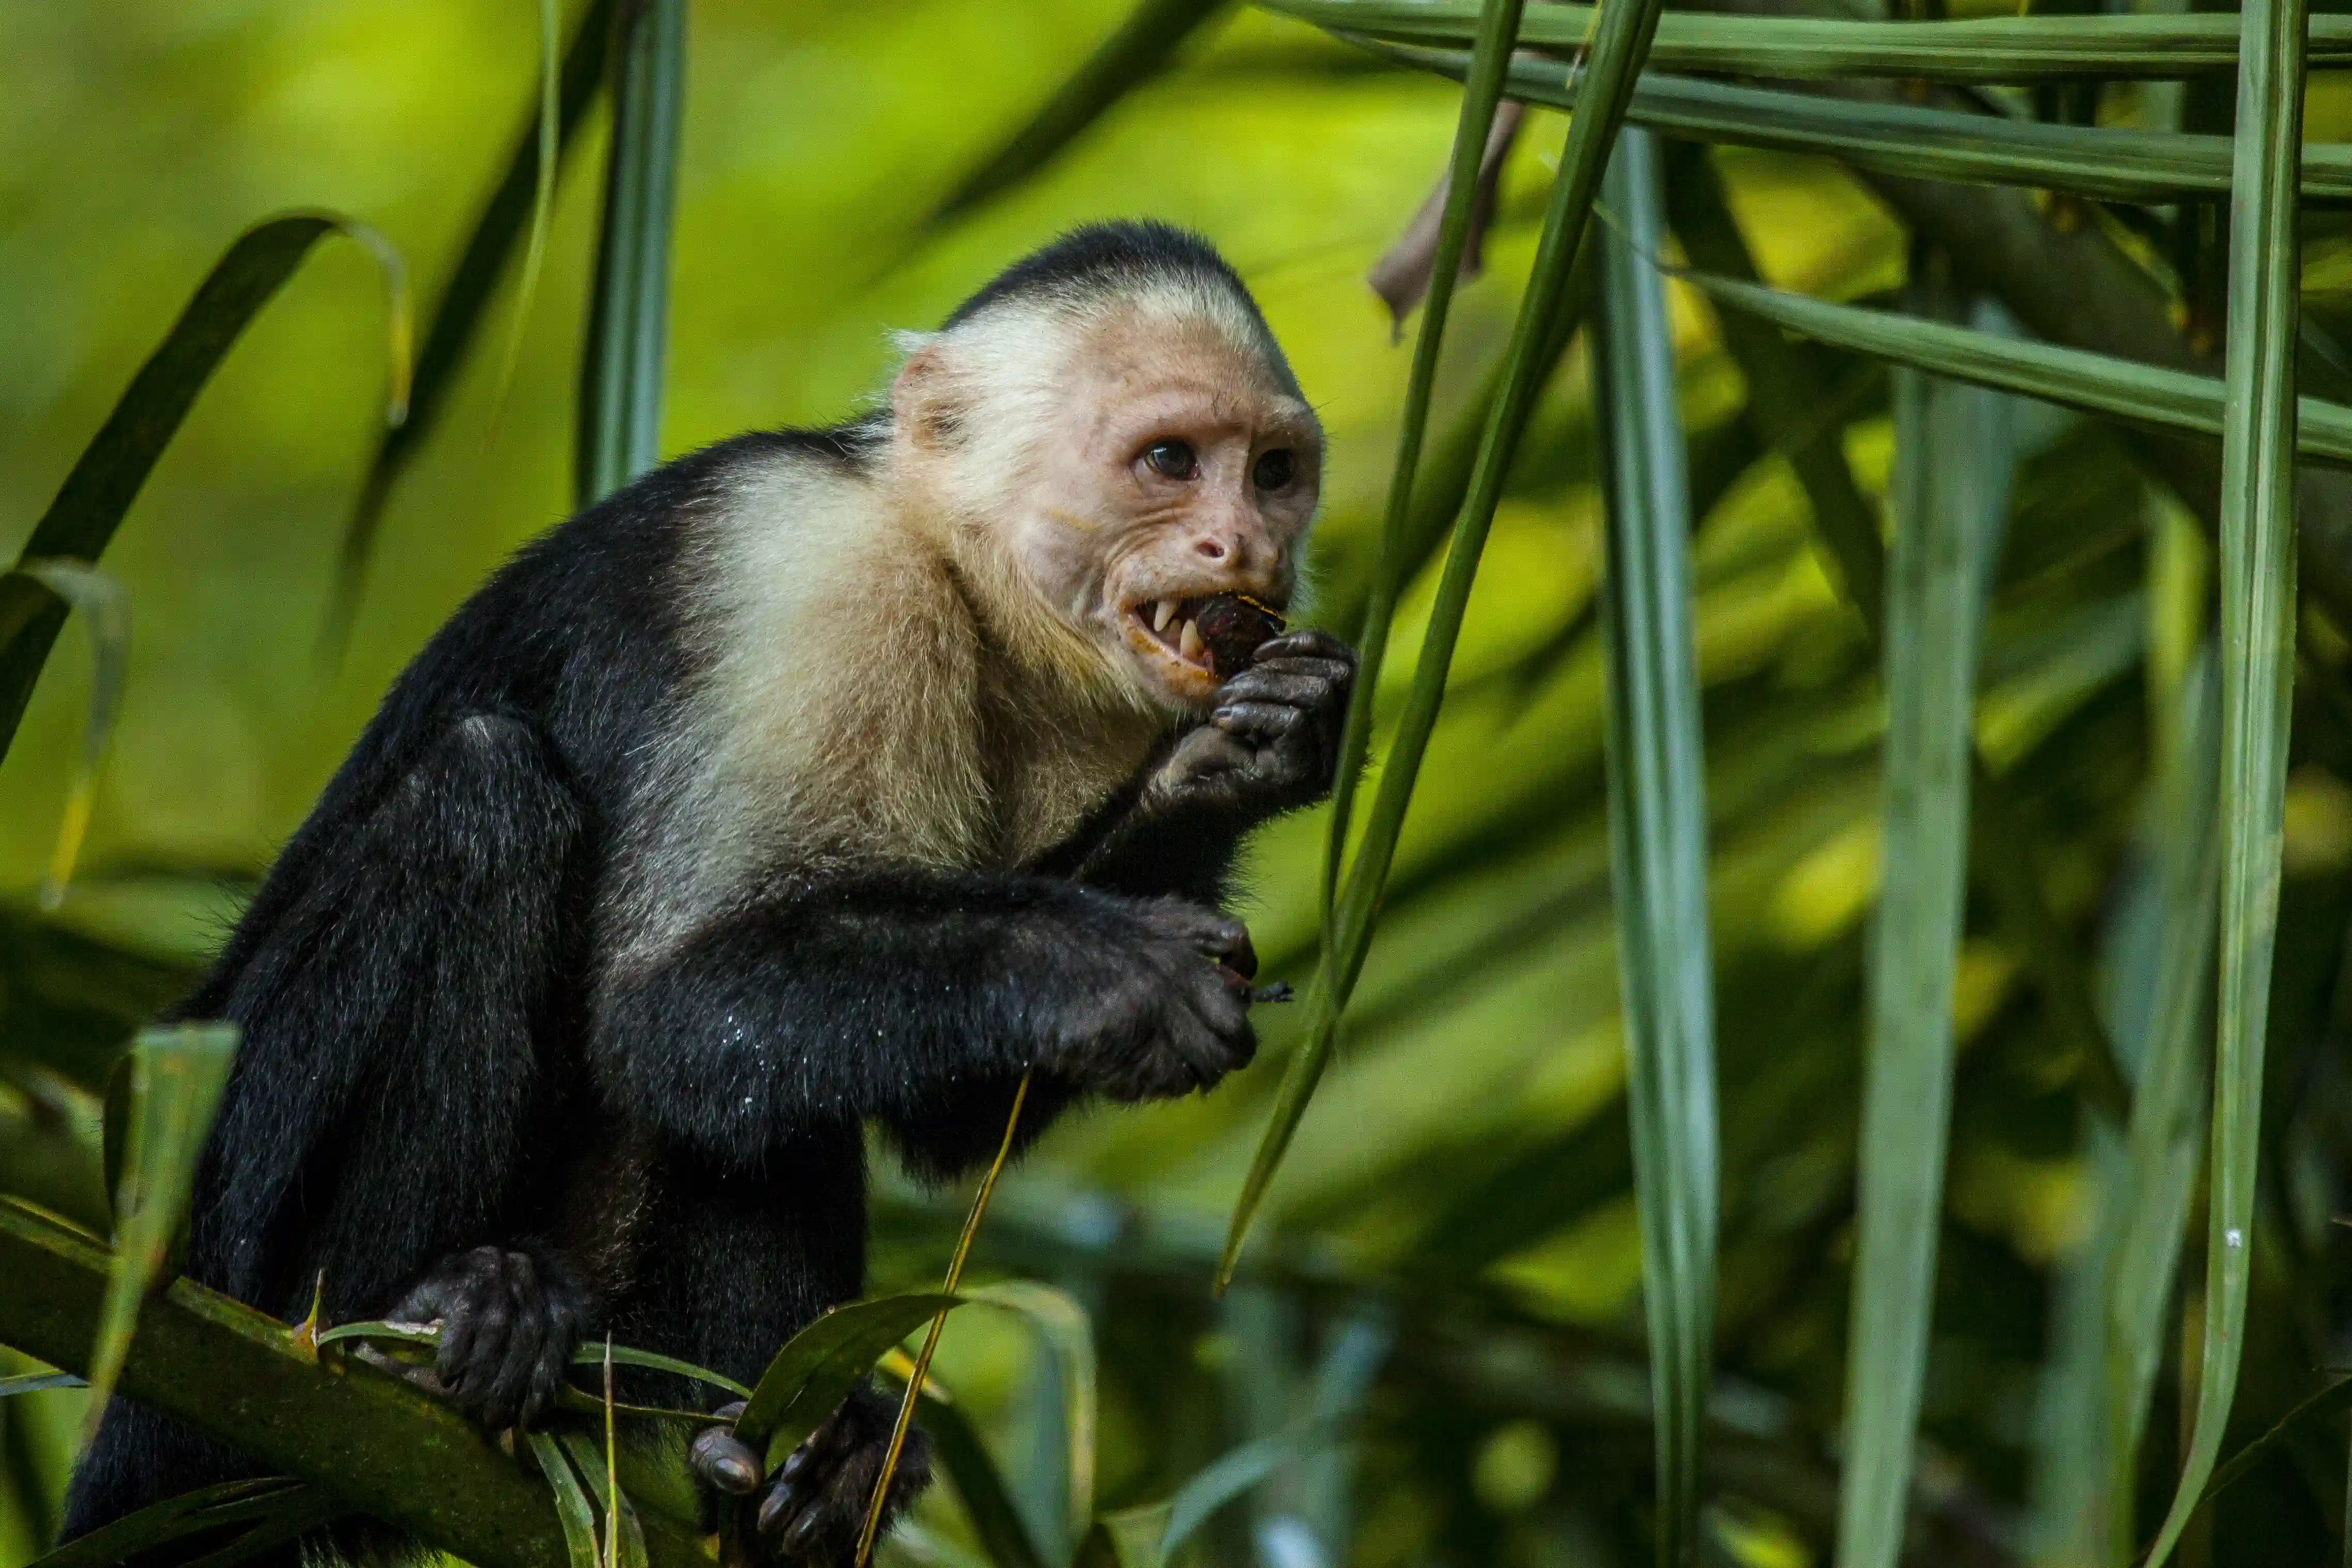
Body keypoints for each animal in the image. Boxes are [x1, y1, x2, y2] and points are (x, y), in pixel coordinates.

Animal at [64, 223, 1355, 1568]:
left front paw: (1245, 754)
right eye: (1169, 462)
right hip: (218, 1228)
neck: (957, 568)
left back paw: (781, 1460)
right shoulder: (805, 572)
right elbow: (666, 998)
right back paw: (411, 1326)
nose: (1246, 550)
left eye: (1272, 473)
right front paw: (1114, 967)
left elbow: (941, 1111)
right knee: (485, 798)